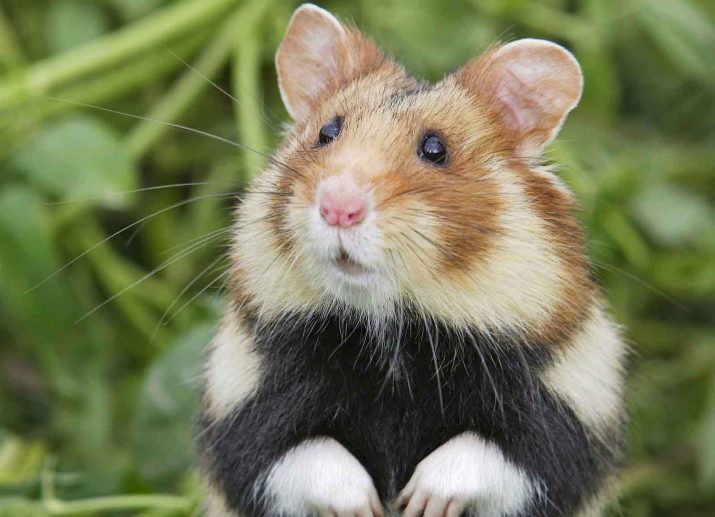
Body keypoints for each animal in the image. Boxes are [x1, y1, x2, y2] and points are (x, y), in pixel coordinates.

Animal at [197, 4, 626, 517]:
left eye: (435, 149)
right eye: (326, 132)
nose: (338, 207)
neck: (393, 330)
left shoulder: (561, 419)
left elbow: (485, 452)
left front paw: (420, 501)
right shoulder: (246, 410)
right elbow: (308, 454)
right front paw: (365, 506)